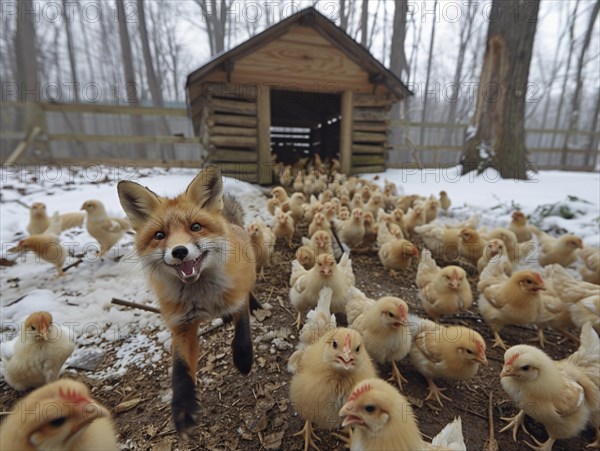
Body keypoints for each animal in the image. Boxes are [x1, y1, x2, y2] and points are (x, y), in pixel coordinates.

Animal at [117, 166, 255, 438]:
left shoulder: (237, 296)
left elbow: (242, 330)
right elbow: (180, 370)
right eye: (160, 235)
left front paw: (244, 359)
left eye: (196, 227)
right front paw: (182, 409)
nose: (179, 251)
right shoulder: (182, 324)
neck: (203, 297)